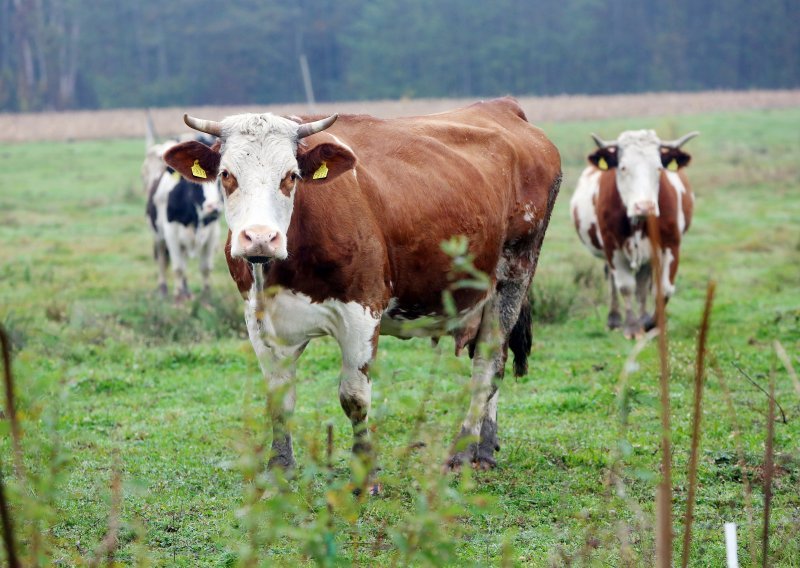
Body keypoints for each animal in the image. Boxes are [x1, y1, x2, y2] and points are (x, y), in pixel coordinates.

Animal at [164, 98, 564, 474]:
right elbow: (279, 397)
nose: (260, 238)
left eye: (291, 176)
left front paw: (363, 473)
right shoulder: (259, 319)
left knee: (487, 365)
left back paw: (464, 451)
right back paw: (485, 446)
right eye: (227, 175)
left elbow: (354, 398)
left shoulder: (362, 312)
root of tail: (502, 107)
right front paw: (280, 467)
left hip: (514, 275)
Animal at [572, 129, 696, 338]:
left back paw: (643, 317)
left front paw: (653, 324)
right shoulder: (612, 247)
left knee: (642, 284)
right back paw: (614, 319)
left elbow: (663, 290)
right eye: (623, 167)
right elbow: (625, 286)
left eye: (659, 168)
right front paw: (631, 327)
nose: (644, 206)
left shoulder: (671, 246)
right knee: (613, 278)